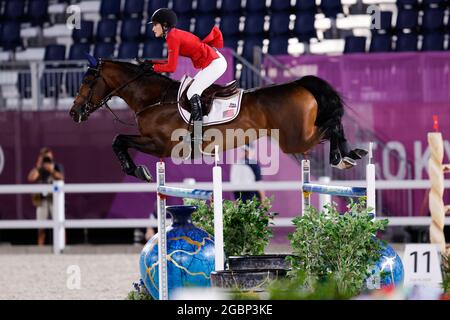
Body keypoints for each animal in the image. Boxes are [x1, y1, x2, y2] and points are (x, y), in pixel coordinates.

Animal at [69, 58, 366, 182]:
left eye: (87, 81)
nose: (74, 113)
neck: (153, 98)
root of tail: (299, 84)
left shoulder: (160, 144)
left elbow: (118, 140)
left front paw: (137, 171)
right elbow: (119, 140)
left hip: (293, 140)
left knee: (330, 126)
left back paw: (342, 157)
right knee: (331, 126)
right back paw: (351, 153)